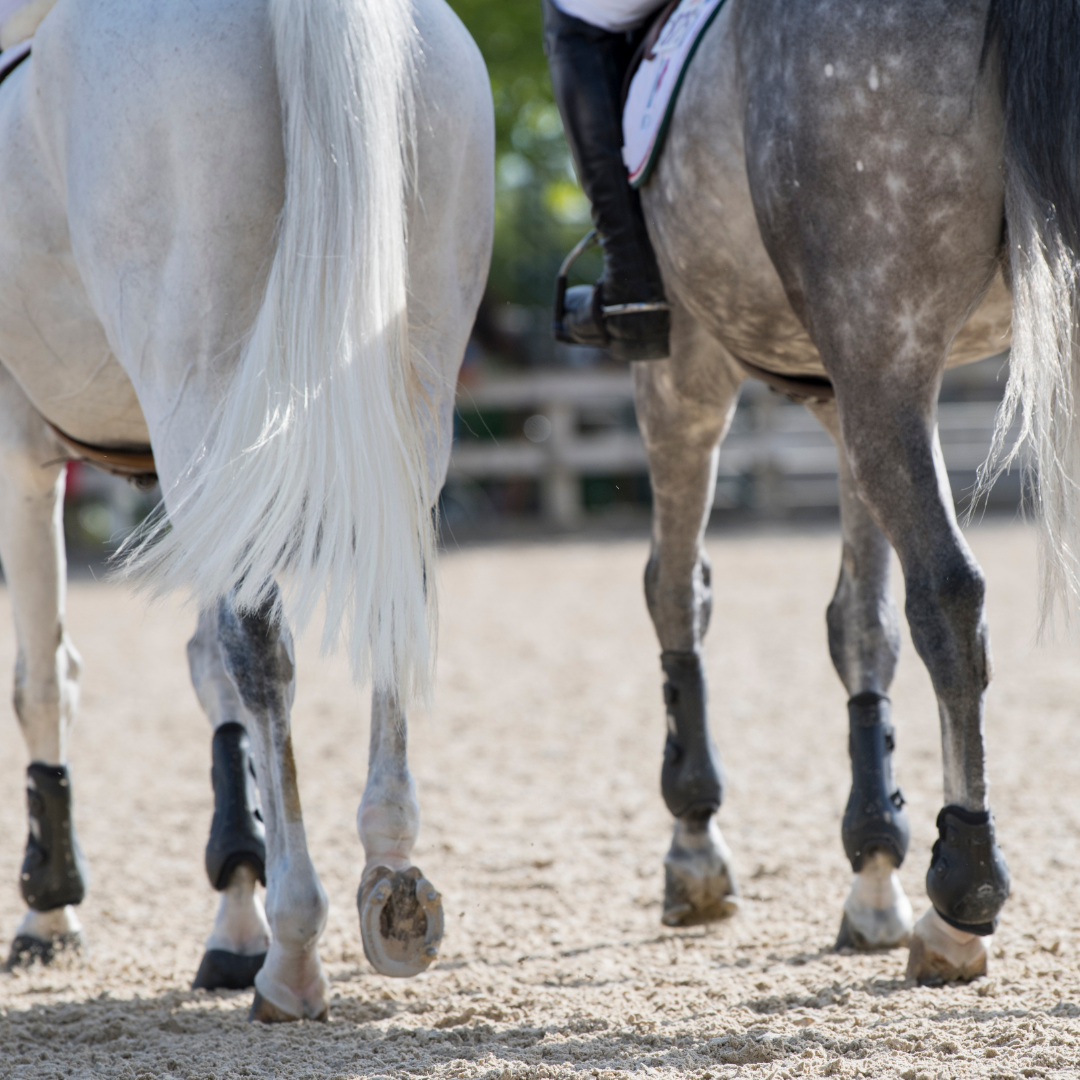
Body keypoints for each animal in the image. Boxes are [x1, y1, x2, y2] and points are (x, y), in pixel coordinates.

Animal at [0, 0, 494, 1019]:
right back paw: (389, 883)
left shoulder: (21, 451)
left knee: (259, 645)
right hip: (401, 394)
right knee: (384, 602)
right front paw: (233, 915)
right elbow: (208, 678)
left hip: (199, 389)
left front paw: (50, 910)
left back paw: (297, 951)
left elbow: (43, 677)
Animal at [630, 0, 1058, 984]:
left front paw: (695, 838)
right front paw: (872, 868)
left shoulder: (685, 365)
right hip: (876, 366)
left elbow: (677, 589)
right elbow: (861, 623)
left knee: (949, 596)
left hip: (867, 343)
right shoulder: (845, 392)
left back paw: (963, 895)